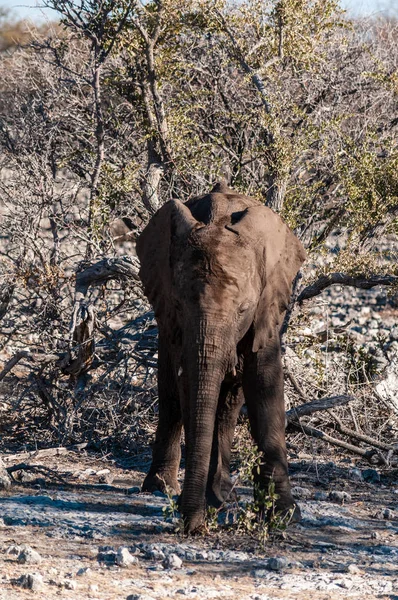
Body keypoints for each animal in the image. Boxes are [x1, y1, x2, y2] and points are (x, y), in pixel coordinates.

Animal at [135, 180, 306, 532]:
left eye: (243, 309)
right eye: (179, 304)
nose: (192, 526)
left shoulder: (267, 307)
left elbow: (265, 386)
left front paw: (284, 515)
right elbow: (188, 389)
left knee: (228, 406)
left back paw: (222, 496)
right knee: (171, 395)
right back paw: (163, 488)